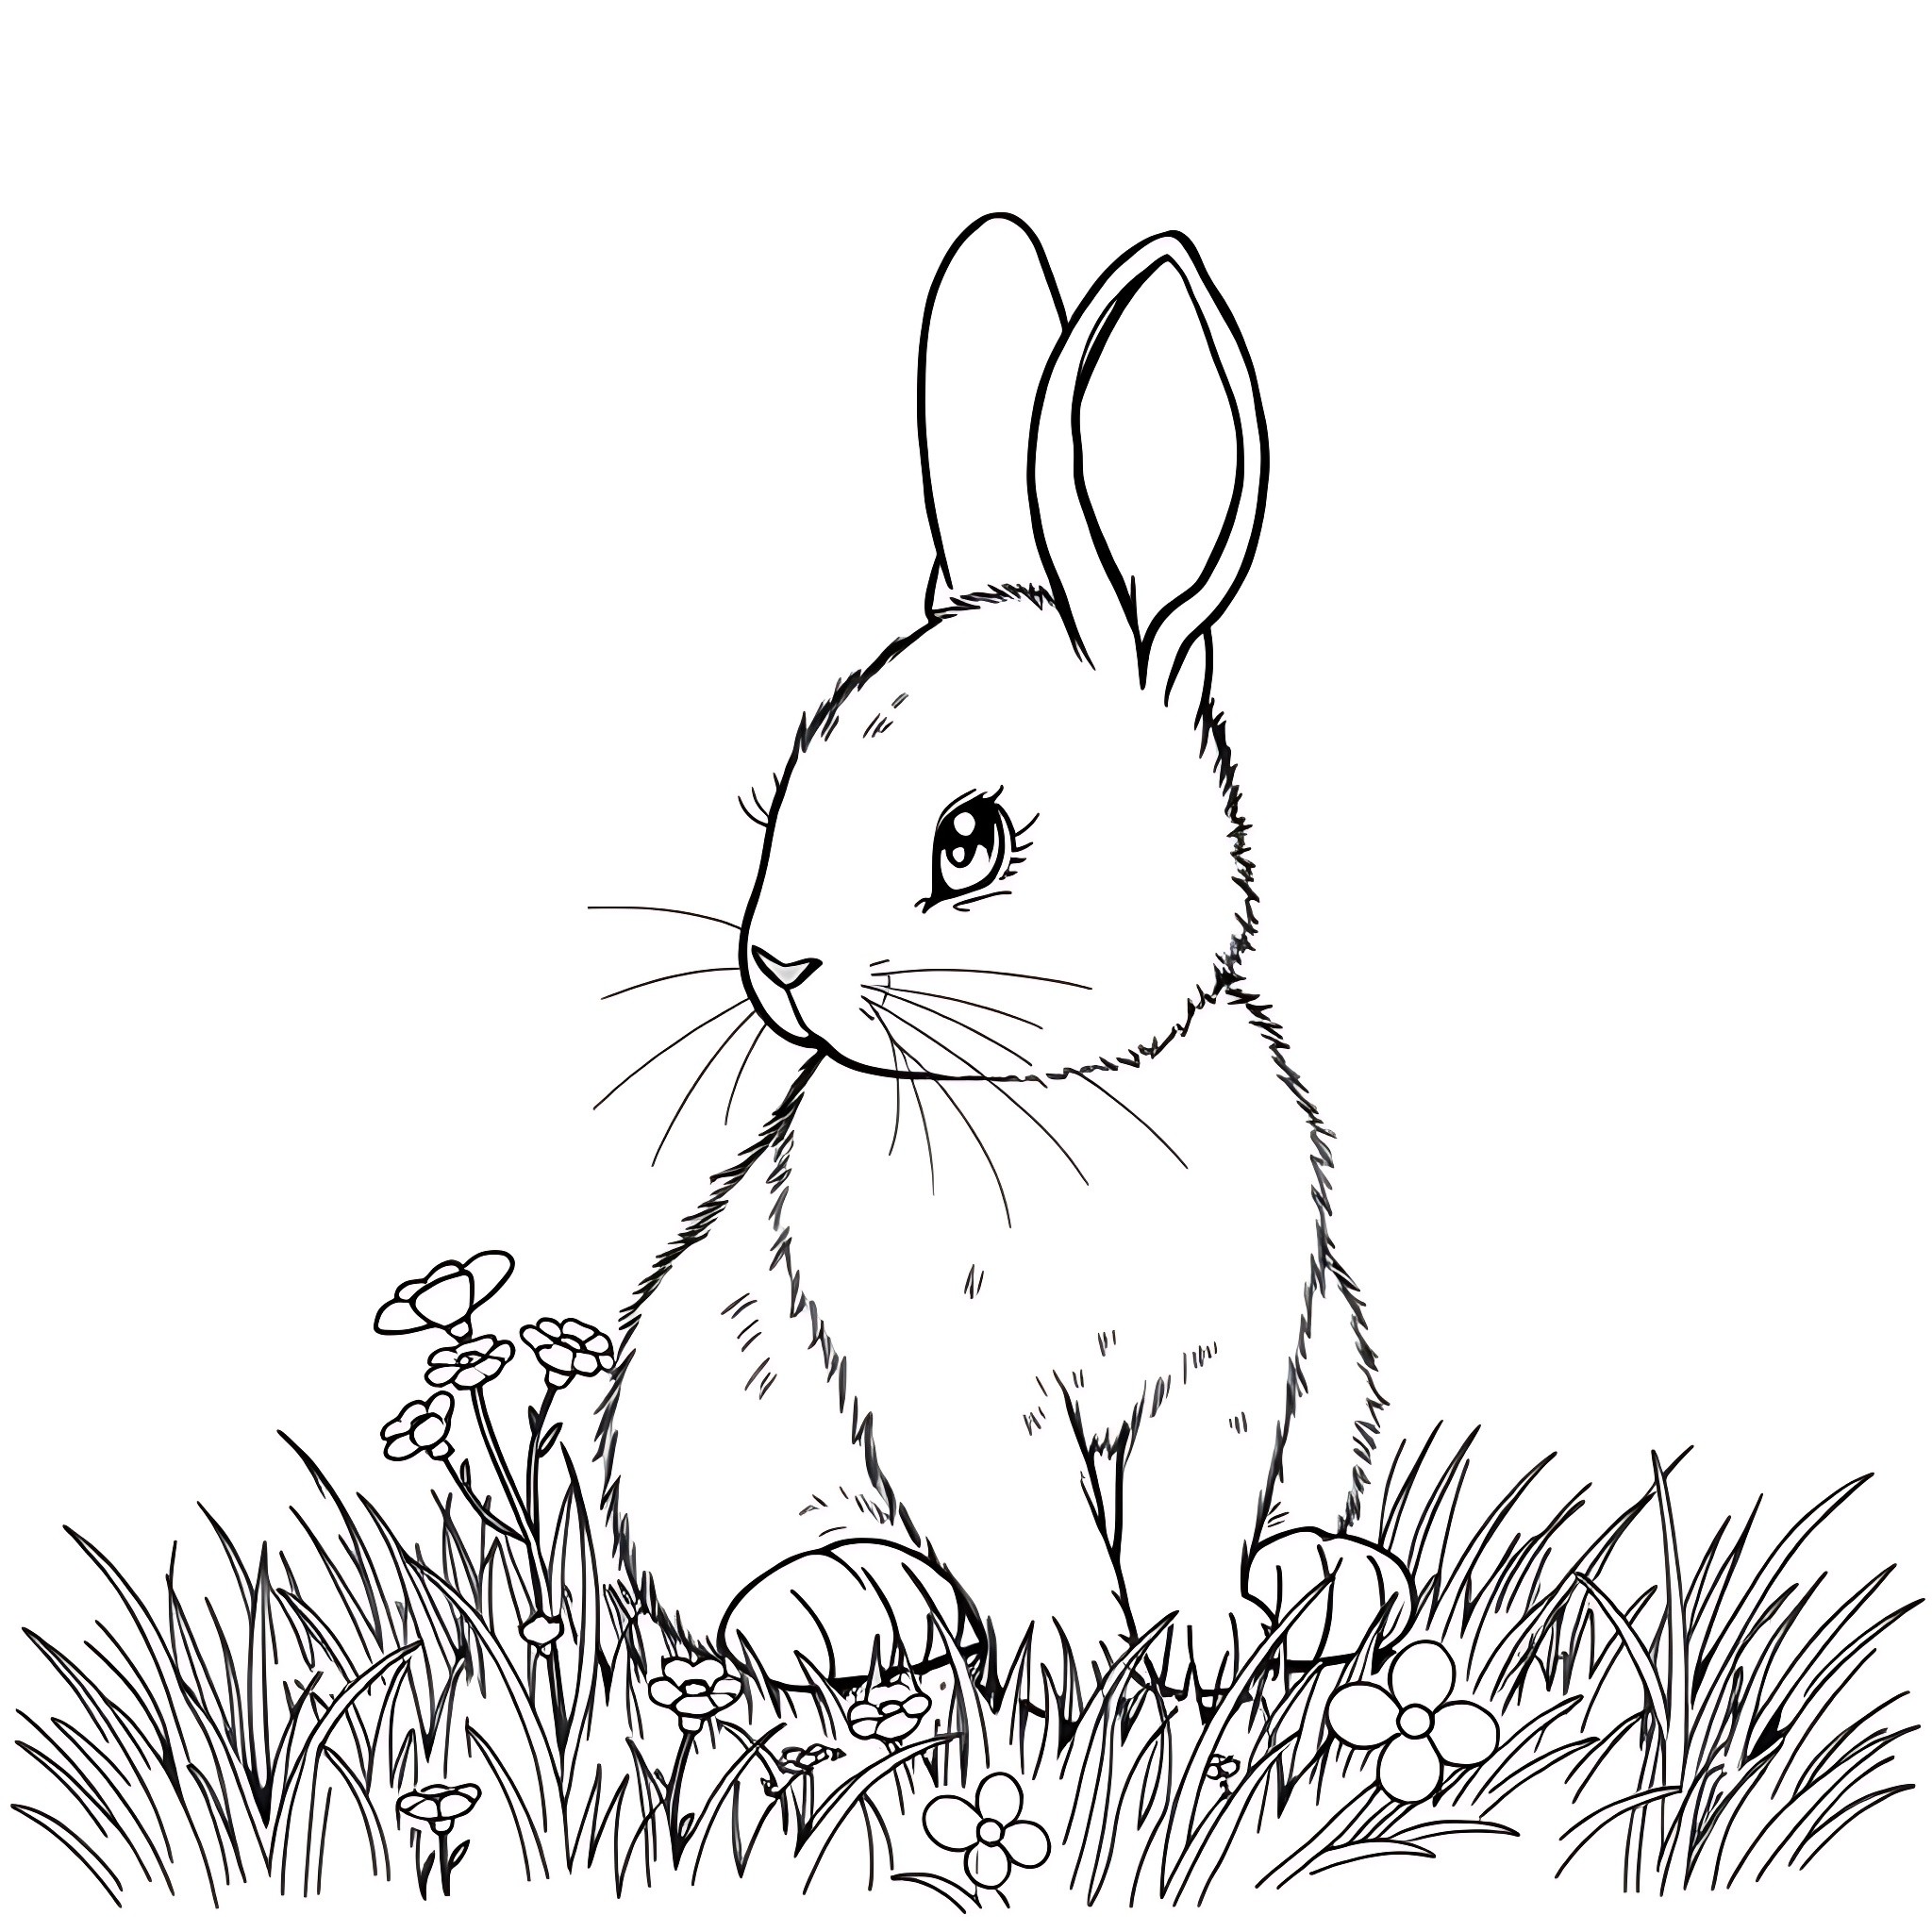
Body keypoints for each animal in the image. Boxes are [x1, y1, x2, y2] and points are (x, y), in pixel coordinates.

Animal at [595, 214, 1416, 1703]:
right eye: (793, 772)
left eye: (967, 839)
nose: (774, 962)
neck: (1055, 1091)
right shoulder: (954, 1393)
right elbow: (1024, 1526)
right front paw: (1076, 1669)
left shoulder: (1226, 1370)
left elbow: (1188, 1514)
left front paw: (1197, 1649)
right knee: (730, 1586)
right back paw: (847, 1606)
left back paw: (1321, 1584)